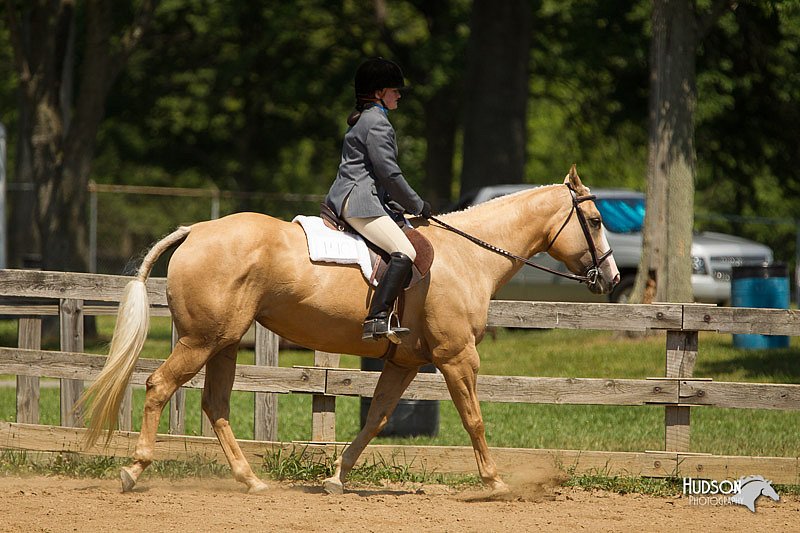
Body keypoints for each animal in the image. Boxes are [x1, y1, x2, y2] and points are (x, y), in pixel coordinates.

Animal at [79, 165, 620, 494]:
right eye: (595, 219)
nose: (612, 278)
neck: (469, 256)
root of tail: (195, 230)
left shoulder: (406, 362)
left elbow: (376, 419)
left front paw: (336, 478)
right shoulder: (457, 357)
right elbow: (474, 419)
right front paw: (496, 483)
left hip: (225, 343)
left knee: (215, 406)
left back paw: (250, 479)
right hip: (201, 341)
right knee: (159, 385)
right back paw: (134, 469)